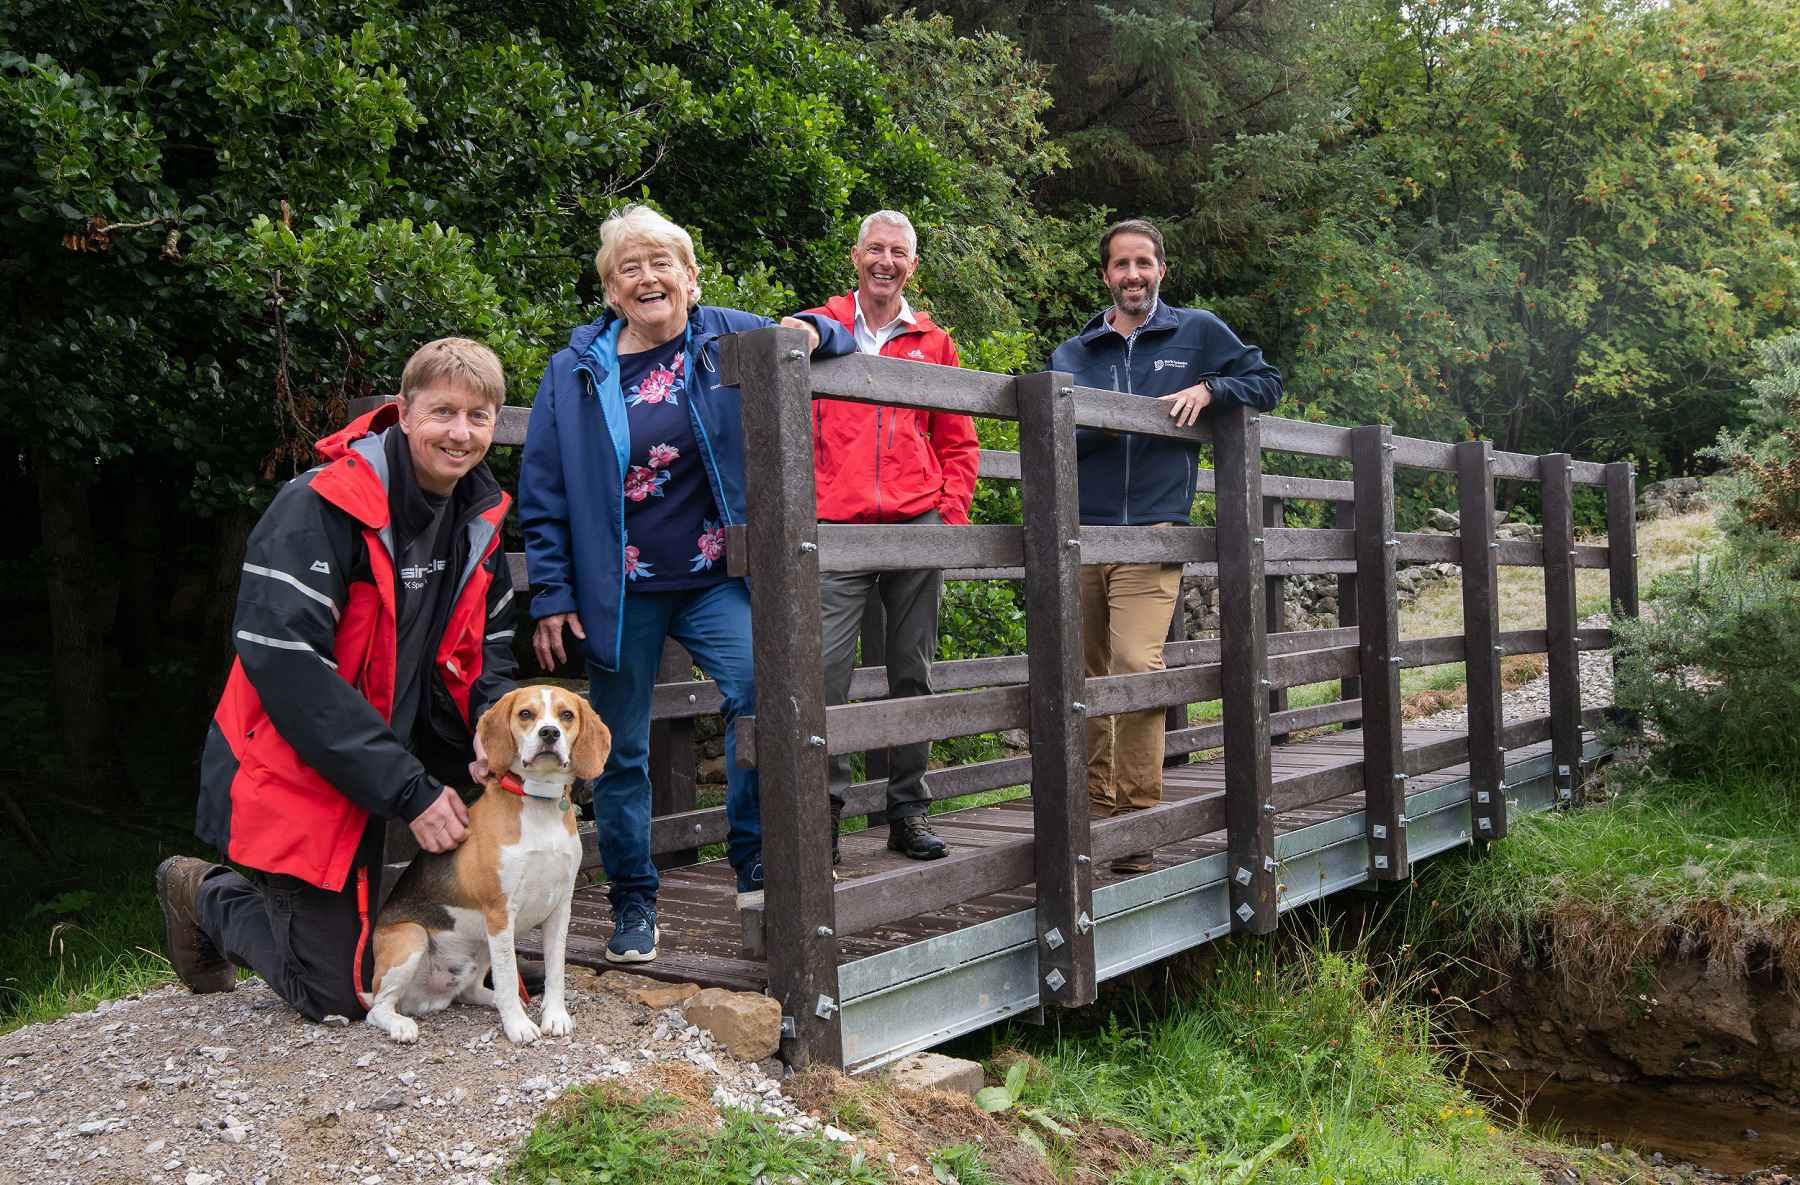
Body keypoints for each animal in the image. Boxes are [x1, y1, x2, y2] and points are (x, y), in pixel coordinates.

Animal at [360, 684, 612, 1044]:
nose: (549, 733)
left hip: (479, 943)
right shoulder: (499, 912)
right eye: (526, 714)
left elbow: (556, 970)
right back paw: (401, 1024)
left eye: (566, 715)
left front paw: (554, 1016)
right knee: (377, 1007)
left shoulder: (560, 909)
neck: (539, 804)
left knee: (470, 991)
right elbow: (507, 975)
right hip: (412, 937)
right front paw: (518, 1026)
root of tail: (428, 997)